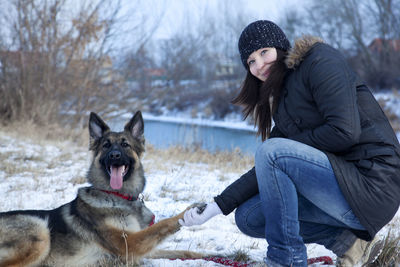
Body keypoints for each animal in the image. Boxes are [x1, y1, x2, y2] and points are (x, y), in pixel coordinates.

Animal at [0, 112, 202, 266]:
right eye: (106, 145)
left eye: (125, 144)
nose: (114, 155)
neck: (118, 196)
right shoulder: (129, 244)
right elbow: (163, 224)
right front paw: (189, 212)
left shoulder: (140, 247)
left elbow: (181, 251)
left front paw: (207, 255)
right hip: (40, 231)